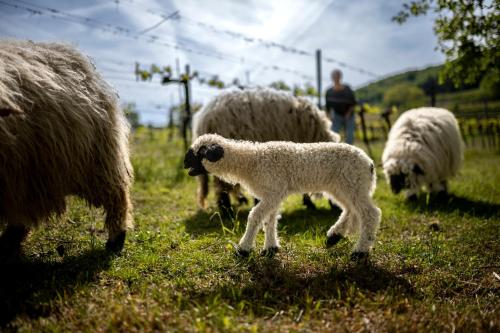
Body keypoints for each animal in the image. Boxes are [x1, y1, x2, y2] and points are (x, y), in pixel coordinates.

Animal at [185, 133, 382, 260]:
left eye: (199, 152)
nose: (184, 164)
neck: (250, 162)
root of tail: (370, 163)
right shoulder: (273, 193)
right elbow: (269, 220)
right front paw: (271, 248)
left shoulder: (273, 192)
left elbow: (255, 216)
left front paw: (243, 249)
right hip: (342, 187)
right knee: (351, 210)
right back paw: (334, 236)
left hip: (353, 183)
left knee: (370, 213)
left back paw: (360, 251)